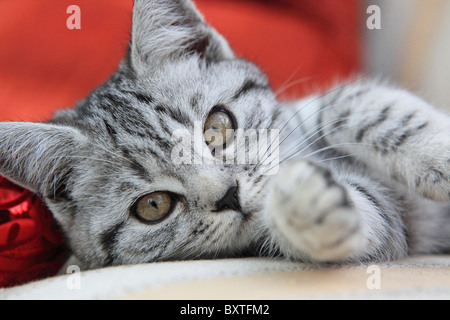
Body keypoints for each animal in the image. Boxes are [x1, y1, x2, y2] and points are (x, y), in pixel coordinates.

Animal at [0, 0, 450, 270]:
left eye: (218, 126)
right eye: (153, 206)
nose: (228, 194)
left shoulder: (310, 111)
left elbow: (351, 104)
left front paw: (438, 153)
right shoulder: (396, 226)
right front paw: (304, 204)